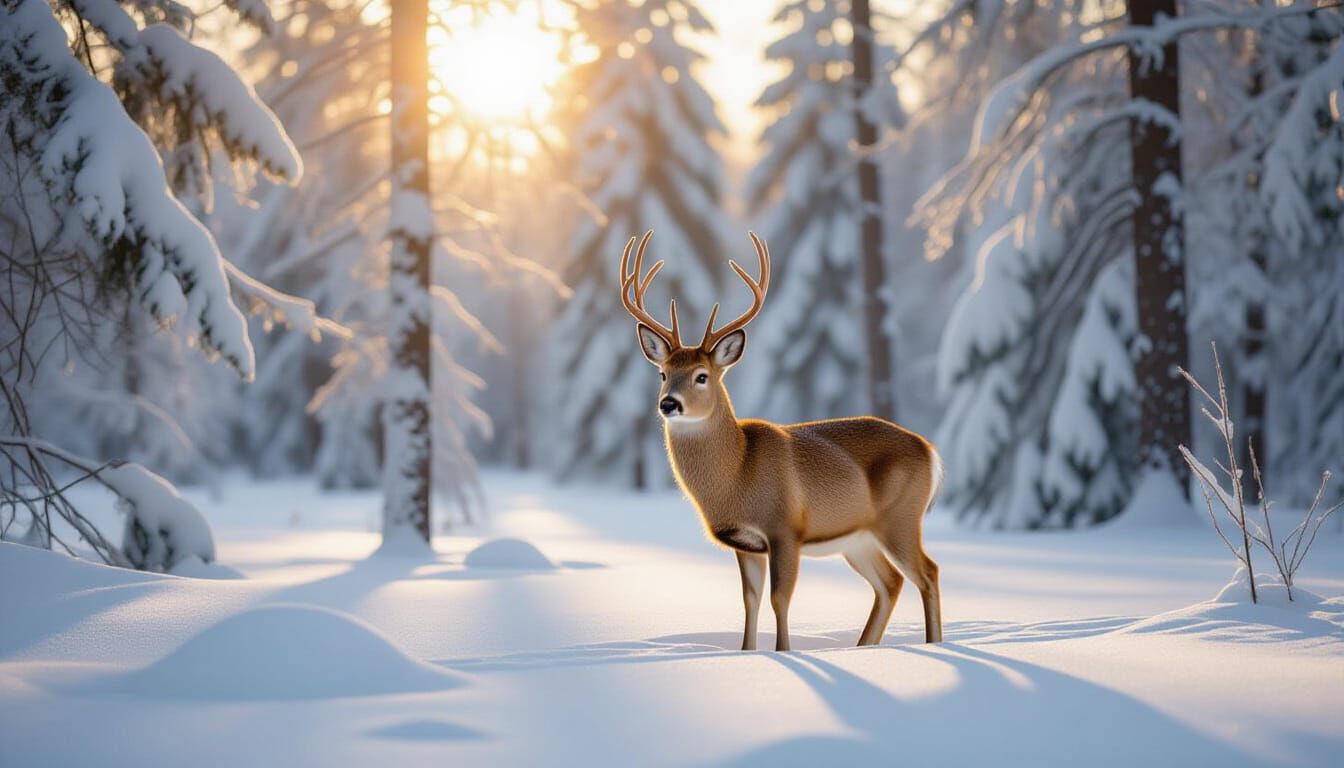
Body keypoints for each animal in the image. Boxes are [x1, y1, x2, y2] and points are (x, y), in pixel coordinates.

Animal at [620, 230, 944, 651]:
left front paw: (783, 652)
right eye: (662, 373)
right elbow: (750, 600)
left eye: (701, 376)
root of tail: (930, 450)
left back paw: (933, 645)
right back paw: (863, 647)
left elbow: (779, 598)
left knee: (928, 572)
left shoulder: (784, 528)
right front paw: (747, 653)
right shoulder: (745, 542)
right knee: (890, 582)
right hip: (859, 538)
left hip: (900, 517)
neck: (738, 473)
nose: (668, 403)